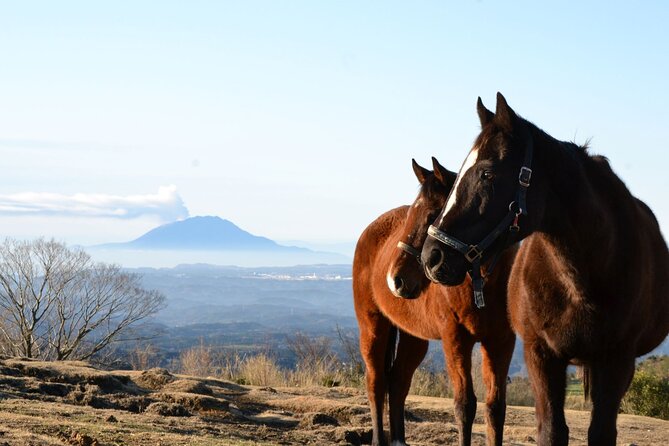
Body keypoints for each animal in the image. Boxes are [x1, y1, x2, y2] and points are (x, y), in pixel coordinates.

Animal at [352, 160, 516, 446]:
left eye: (432, 216)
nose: (395, 280)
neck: (481, 283)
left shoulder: (500, 342)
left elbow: (495, 408)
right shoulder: (455, 340)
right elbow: (464, 405)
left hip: (413, 338)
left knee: (398, 382)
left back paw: (399, 440)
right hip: (372, 328)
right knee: (376, 382)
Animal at [422, 92, 668, 444]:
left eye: (486, 174)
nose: (432, 256)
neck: (581, 277)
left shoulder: (617, 361)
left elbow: (601, 432)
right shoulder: (541, 355)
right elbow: (552, 431)